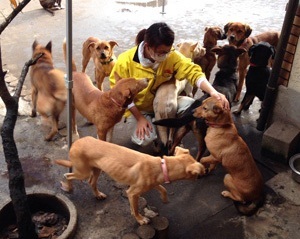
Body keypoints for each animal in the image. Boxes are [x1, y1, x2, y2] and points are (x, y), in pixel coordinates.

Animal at [55, 136, 206, 224]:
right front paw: (140, 219)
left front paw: (164, 199)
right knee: (68, 175)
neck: (162, 166)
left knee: (91, 182)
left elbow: (162, 188)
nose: (203, 174)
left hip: (97, 169)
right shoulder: (132, 193)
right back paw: (68, 187)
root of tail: (76, 142)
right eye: (197, 174)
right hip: (83, 172)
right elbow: (136, 209)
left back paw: (98, 195)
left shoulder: (152, 183)